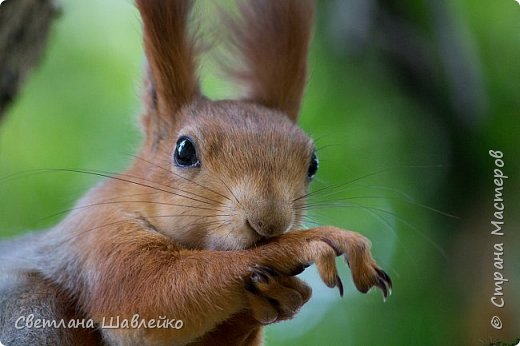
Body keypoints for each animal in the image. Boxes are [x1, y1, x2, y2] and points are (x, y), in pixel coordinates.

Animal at [0, 1, 390, 344]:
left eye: (313, 164)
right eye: (184, 150)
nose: (270, 222)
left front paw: (269, 302)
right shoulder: (96, 237)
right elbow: (144, 294)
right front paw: (309, 241)